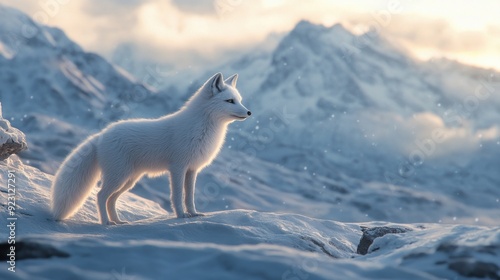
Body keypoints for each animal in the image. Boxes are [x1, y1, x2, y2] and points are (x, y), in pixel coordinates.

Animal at [50, 72, 250, 225]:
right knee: (100, 196)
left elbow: (189, 196)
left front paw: (193, 214)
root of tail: (101, 135)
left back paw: (118, 221)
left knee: (111, 199)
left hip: (129, 180)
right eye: (230, 101)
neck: (203, 128)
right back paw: (106, 222)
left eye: (240, 100)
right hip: (118, 176)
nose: (249, 112)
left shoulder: (192, 169)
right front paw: (180, 216)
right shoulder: (177, 168)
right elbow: (177, 196)